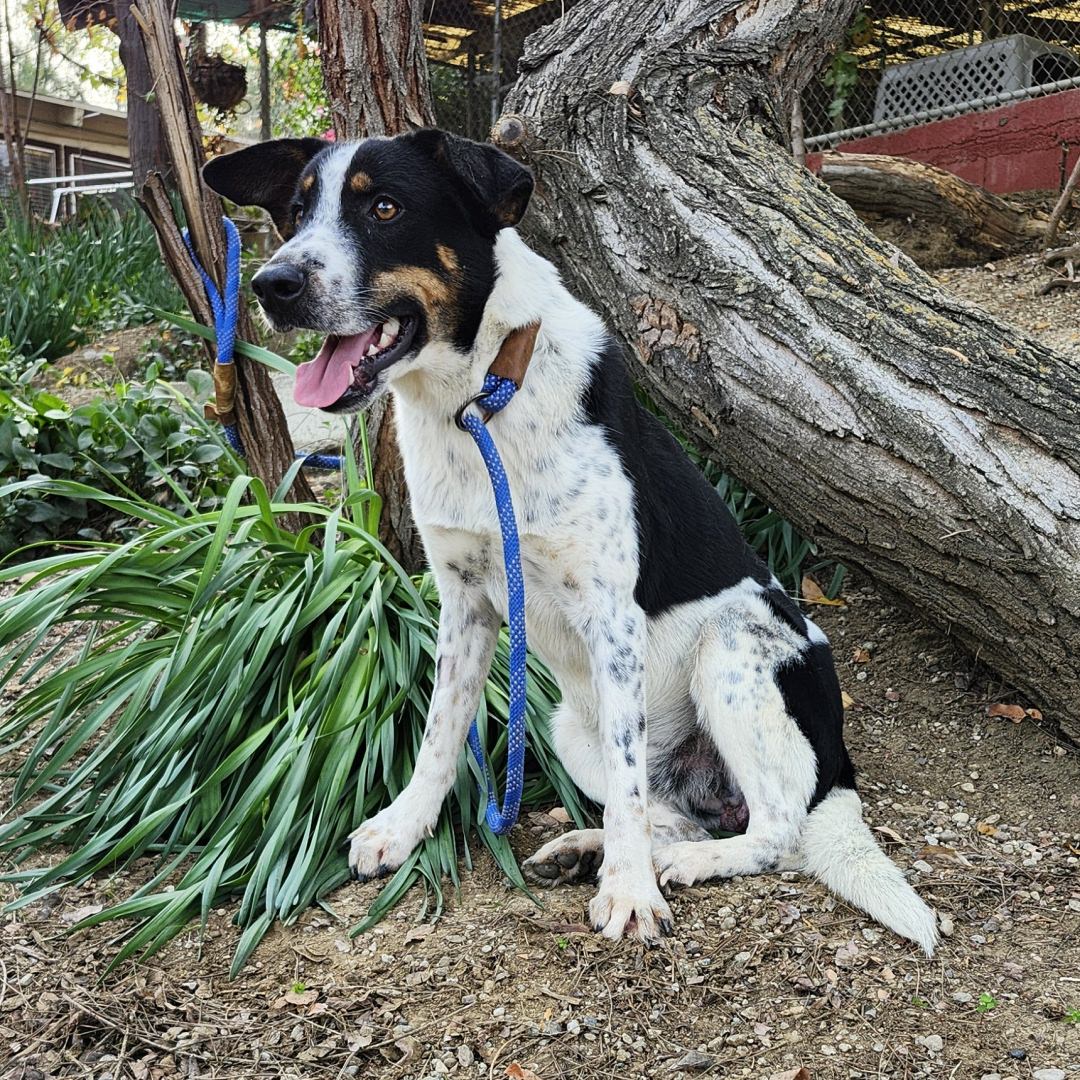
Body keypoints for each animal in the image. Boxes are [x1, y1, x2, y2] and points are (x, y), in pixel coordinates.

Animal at [202, 130, 938, 952]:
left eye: (384, 207)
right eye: (296, 214)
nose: (271, 284)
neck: (478, 403)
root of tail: (836, 764)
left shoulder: (611, 618)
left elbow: (625, 781)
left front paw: (631, 894)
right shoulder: (463, 603)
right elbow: (440, 731)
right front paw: (404, 826)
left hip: (734, 652)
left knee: (772, 829)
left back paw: (680, 864)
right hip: (565, 727)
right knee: (662, 810)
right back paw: (593, 848)